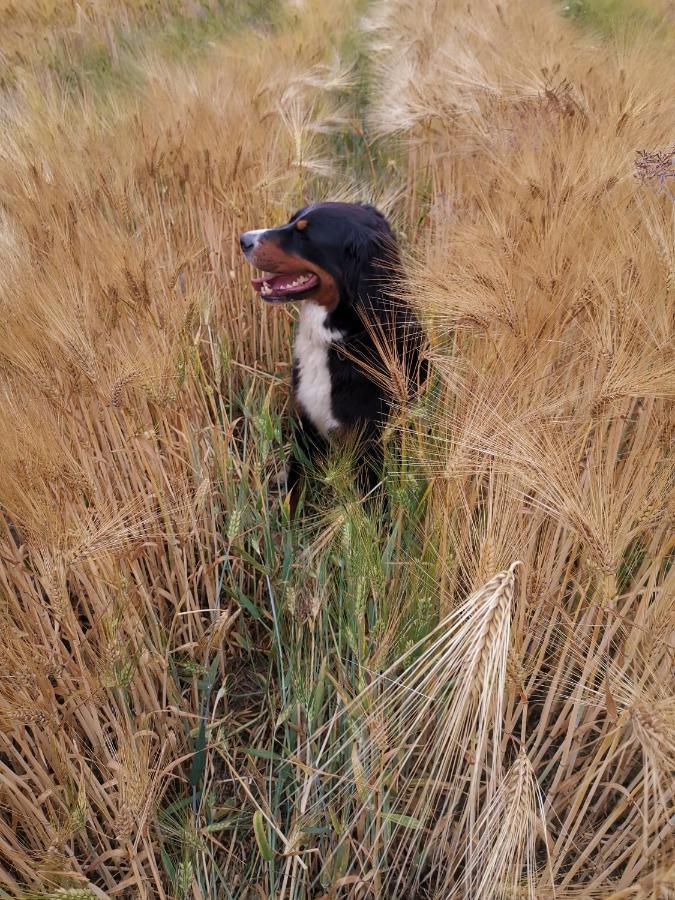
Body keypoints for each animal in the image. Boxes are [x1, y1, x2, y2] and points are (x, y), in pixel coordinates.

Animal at [240, 201, 426, 502]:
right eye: (291, 221)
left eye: (303, 234)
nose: (243, 239)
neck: (339, 339)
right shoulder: (305, 427)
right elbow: (296, 493)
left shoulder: (370, 446)